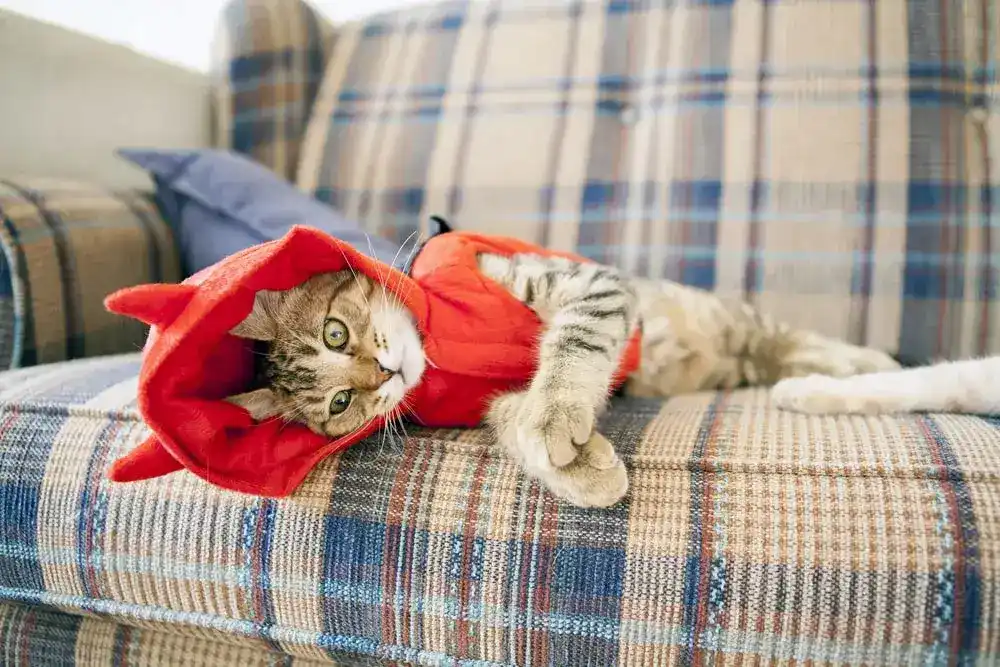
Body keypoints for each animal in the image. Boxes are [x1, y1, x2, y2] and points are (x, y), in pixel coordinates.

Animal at [227, 250, 900, 506]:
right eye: (341, 403)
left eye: (336, 333)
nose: (384, 372)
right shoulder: (488, 404)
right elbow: (514, 422)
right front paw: (573, 463)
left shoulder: (586, 283)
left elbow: (575, 340)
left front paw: (558, 413)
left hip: (730, 320)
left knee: (790, 340)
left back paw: (866, 363)